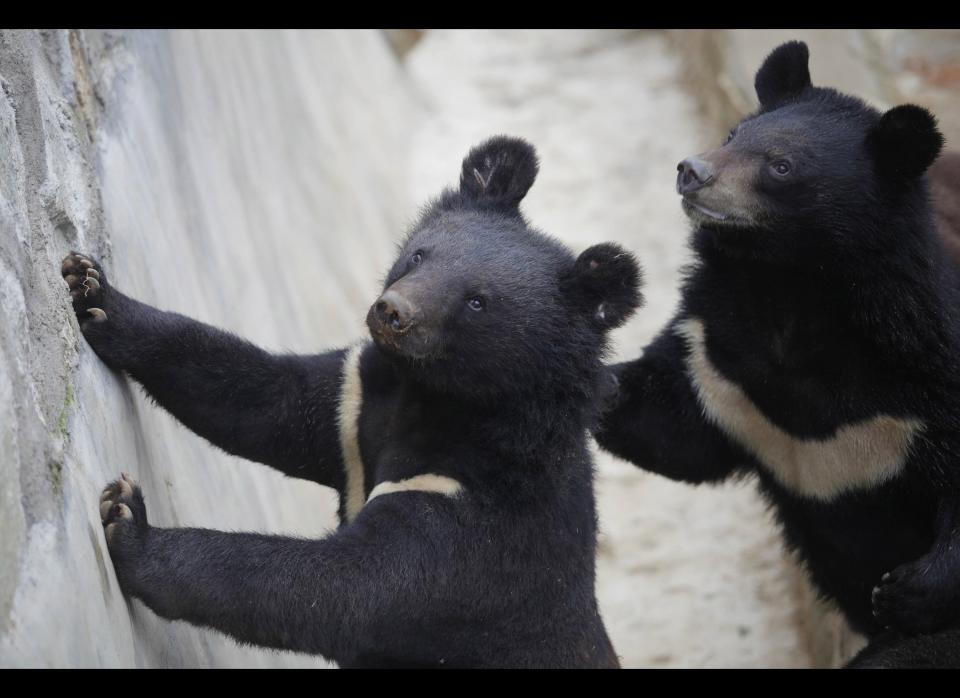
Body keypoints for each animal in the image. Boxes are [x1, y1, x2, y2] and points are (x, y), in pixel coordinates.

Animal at [63, 135, 640, 664]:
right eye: (419, 255)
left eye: (477, 302)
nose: (392, 311)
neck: (434, 397)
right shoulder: (356, 400)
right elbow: (263, 399)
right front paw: (91, 292)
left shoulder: (473, 516)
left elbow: (344, 588)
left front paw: (126, 520)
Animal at [592, 42, 960, 664]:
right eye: (733, 131)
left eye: (781, 166)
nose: (691, 171)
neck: (787, 289)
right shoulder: (717, 359)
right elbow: (673, 429)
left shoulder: (924, 379)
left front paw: (905, 592)